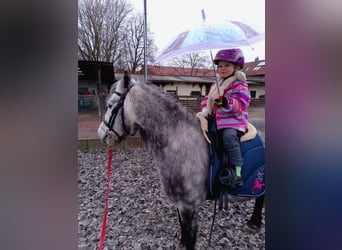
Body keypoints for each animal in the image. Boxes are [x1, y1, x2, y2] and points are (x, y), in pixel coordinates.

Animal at [97, 74, 266, 250]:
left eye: (110, 105)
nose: (102, 134)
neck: (179, 141)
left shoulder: (189, 206)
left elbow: (190, 236)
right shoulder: (181, 204)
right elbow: (184, 232)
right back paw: (254, 223)